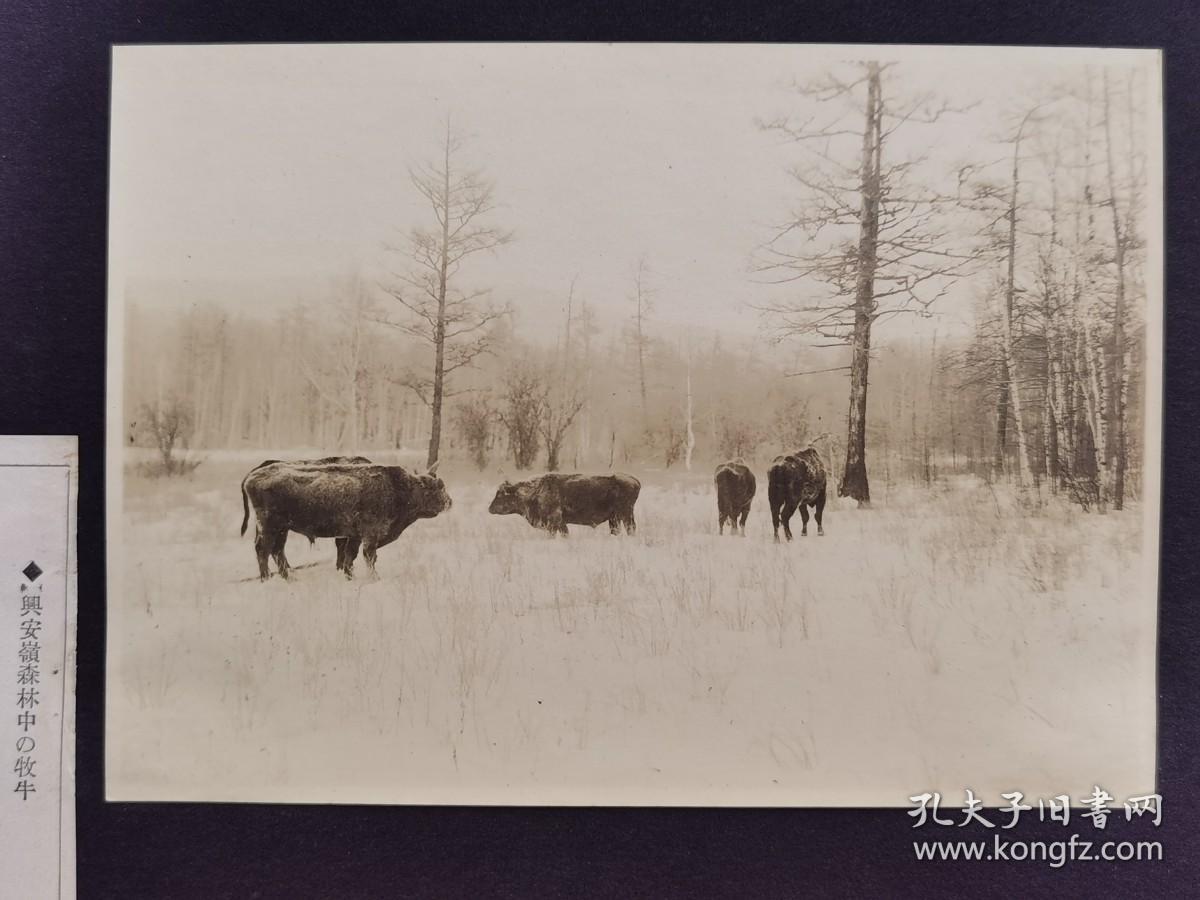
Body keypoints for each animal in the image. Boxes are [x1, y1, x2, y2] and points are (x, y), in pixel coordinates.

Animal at [238, 460, 451, 580]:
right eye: (437, 487)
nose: (449, 502)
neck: (402, 487)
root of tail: (251, 476)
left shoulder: (354, 536)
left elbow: (350, 557)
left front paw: (350, 576)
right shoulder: (370, 535)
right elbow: (369, 557)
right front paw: (375, 578)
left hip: (282, 529)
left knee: (277, 551)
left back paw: (289, 578)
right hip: (270, 527)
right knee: (264, 550)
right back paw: (266, 578)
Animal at [484, 472, 643, 535]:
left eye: (500, 494)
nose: (490, 508)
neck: (536, 490)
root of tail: (635, 480)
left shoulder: (555, 523)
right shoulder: (560, 524)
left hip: (626, 515)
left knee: (631, 528)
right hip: (615, 519)